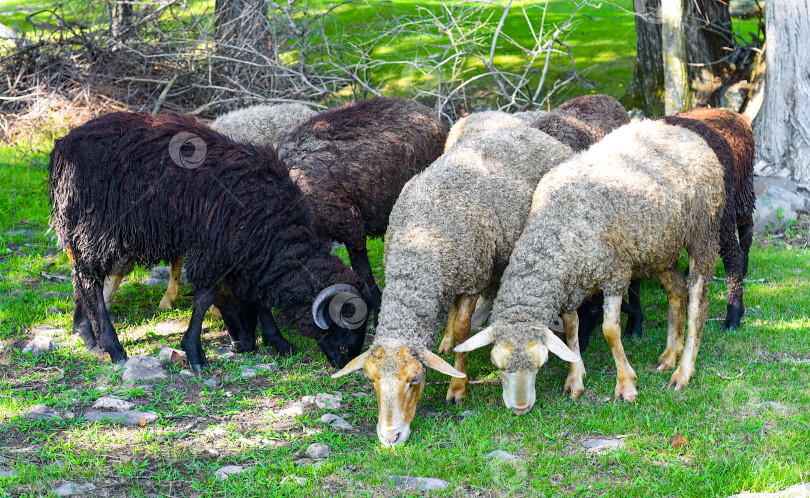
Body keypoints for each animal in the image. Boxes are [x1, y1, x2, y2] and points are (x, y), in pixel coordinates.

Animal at [47, 112, 370, 370]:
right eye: (345, 321)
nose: (346, 360)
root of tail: (64, 146)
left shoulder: (248, 252)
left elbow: (258, 297)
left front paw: (277, 341)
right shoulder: (213, 248)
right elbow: (204, 298)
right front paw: (194, 352)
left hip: (82, 227)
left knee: (79, 273)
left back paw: (86, 336)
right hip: (100, 227)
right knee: (89, 278)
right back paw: (113, 347)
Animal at [330, 113, 576, 448]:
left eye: (415, 380)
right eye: (372, 380)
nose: (391, 438)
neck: (421, 243)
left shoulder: (472, 278)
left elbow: (462, 328)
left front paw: (458, 388)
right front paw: (447, 344)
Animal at [454, 119, 724, 412]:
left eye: (541, 363)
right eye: (497, 365)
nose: (521, 409)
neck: (555, 233)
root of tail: (679, 129)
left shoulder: (615, 274)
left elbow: (610, 331)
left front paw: (626, 385)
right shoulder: (572, 283)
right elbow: (572, 327)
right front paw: (575, 379)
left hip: (704, 232)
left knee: (698, 304)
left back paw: (683, 371)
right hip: (657, 246)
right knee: (677, 290)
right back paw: (669, 355)